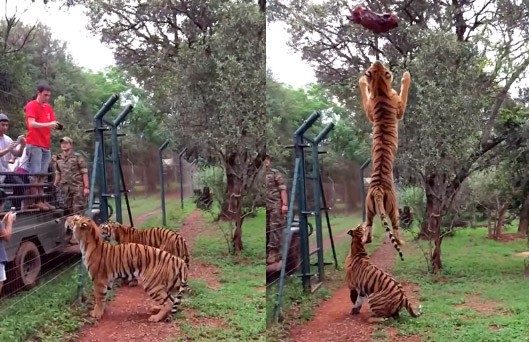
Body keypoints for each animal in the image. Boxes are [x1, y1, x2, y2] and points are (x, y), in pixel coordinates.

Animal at [356, 60, 410, 252]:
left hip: (368, 209)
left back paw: (366, 239)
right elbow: (405, 90)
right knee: (395, 228)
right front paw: (406, 75)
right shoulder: (400, 108)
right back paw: (401, 242)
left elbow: (365, 97)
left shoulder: (369, 111)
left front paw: (362, 81)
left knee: (368, 228)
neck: (379, 89)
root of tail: (378, 190)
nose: (378, 61)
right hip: (394, 208)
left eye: (374, 67)